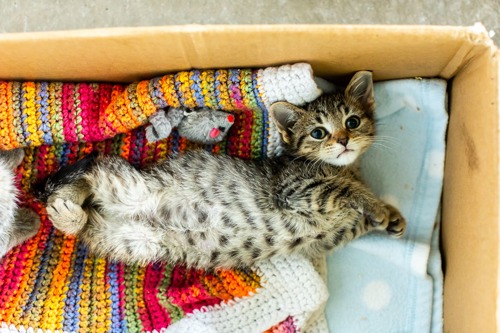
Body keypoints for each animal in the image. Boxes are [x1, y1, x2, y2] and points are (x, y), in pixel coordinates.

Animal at [39, 71, 406, 268]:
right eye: (318, 133)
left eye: (352, 122)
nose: (343, 140)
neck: (340, 167)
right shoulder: (294, 187)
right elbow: (341, 189)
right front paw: (377, 206)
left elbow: (355, 208)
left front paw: (390, 218)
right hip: (130, 185)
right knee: (90, 172)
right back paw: (66, 204)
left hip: (132, 241)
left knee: (86, 226)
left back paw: (70, 216)